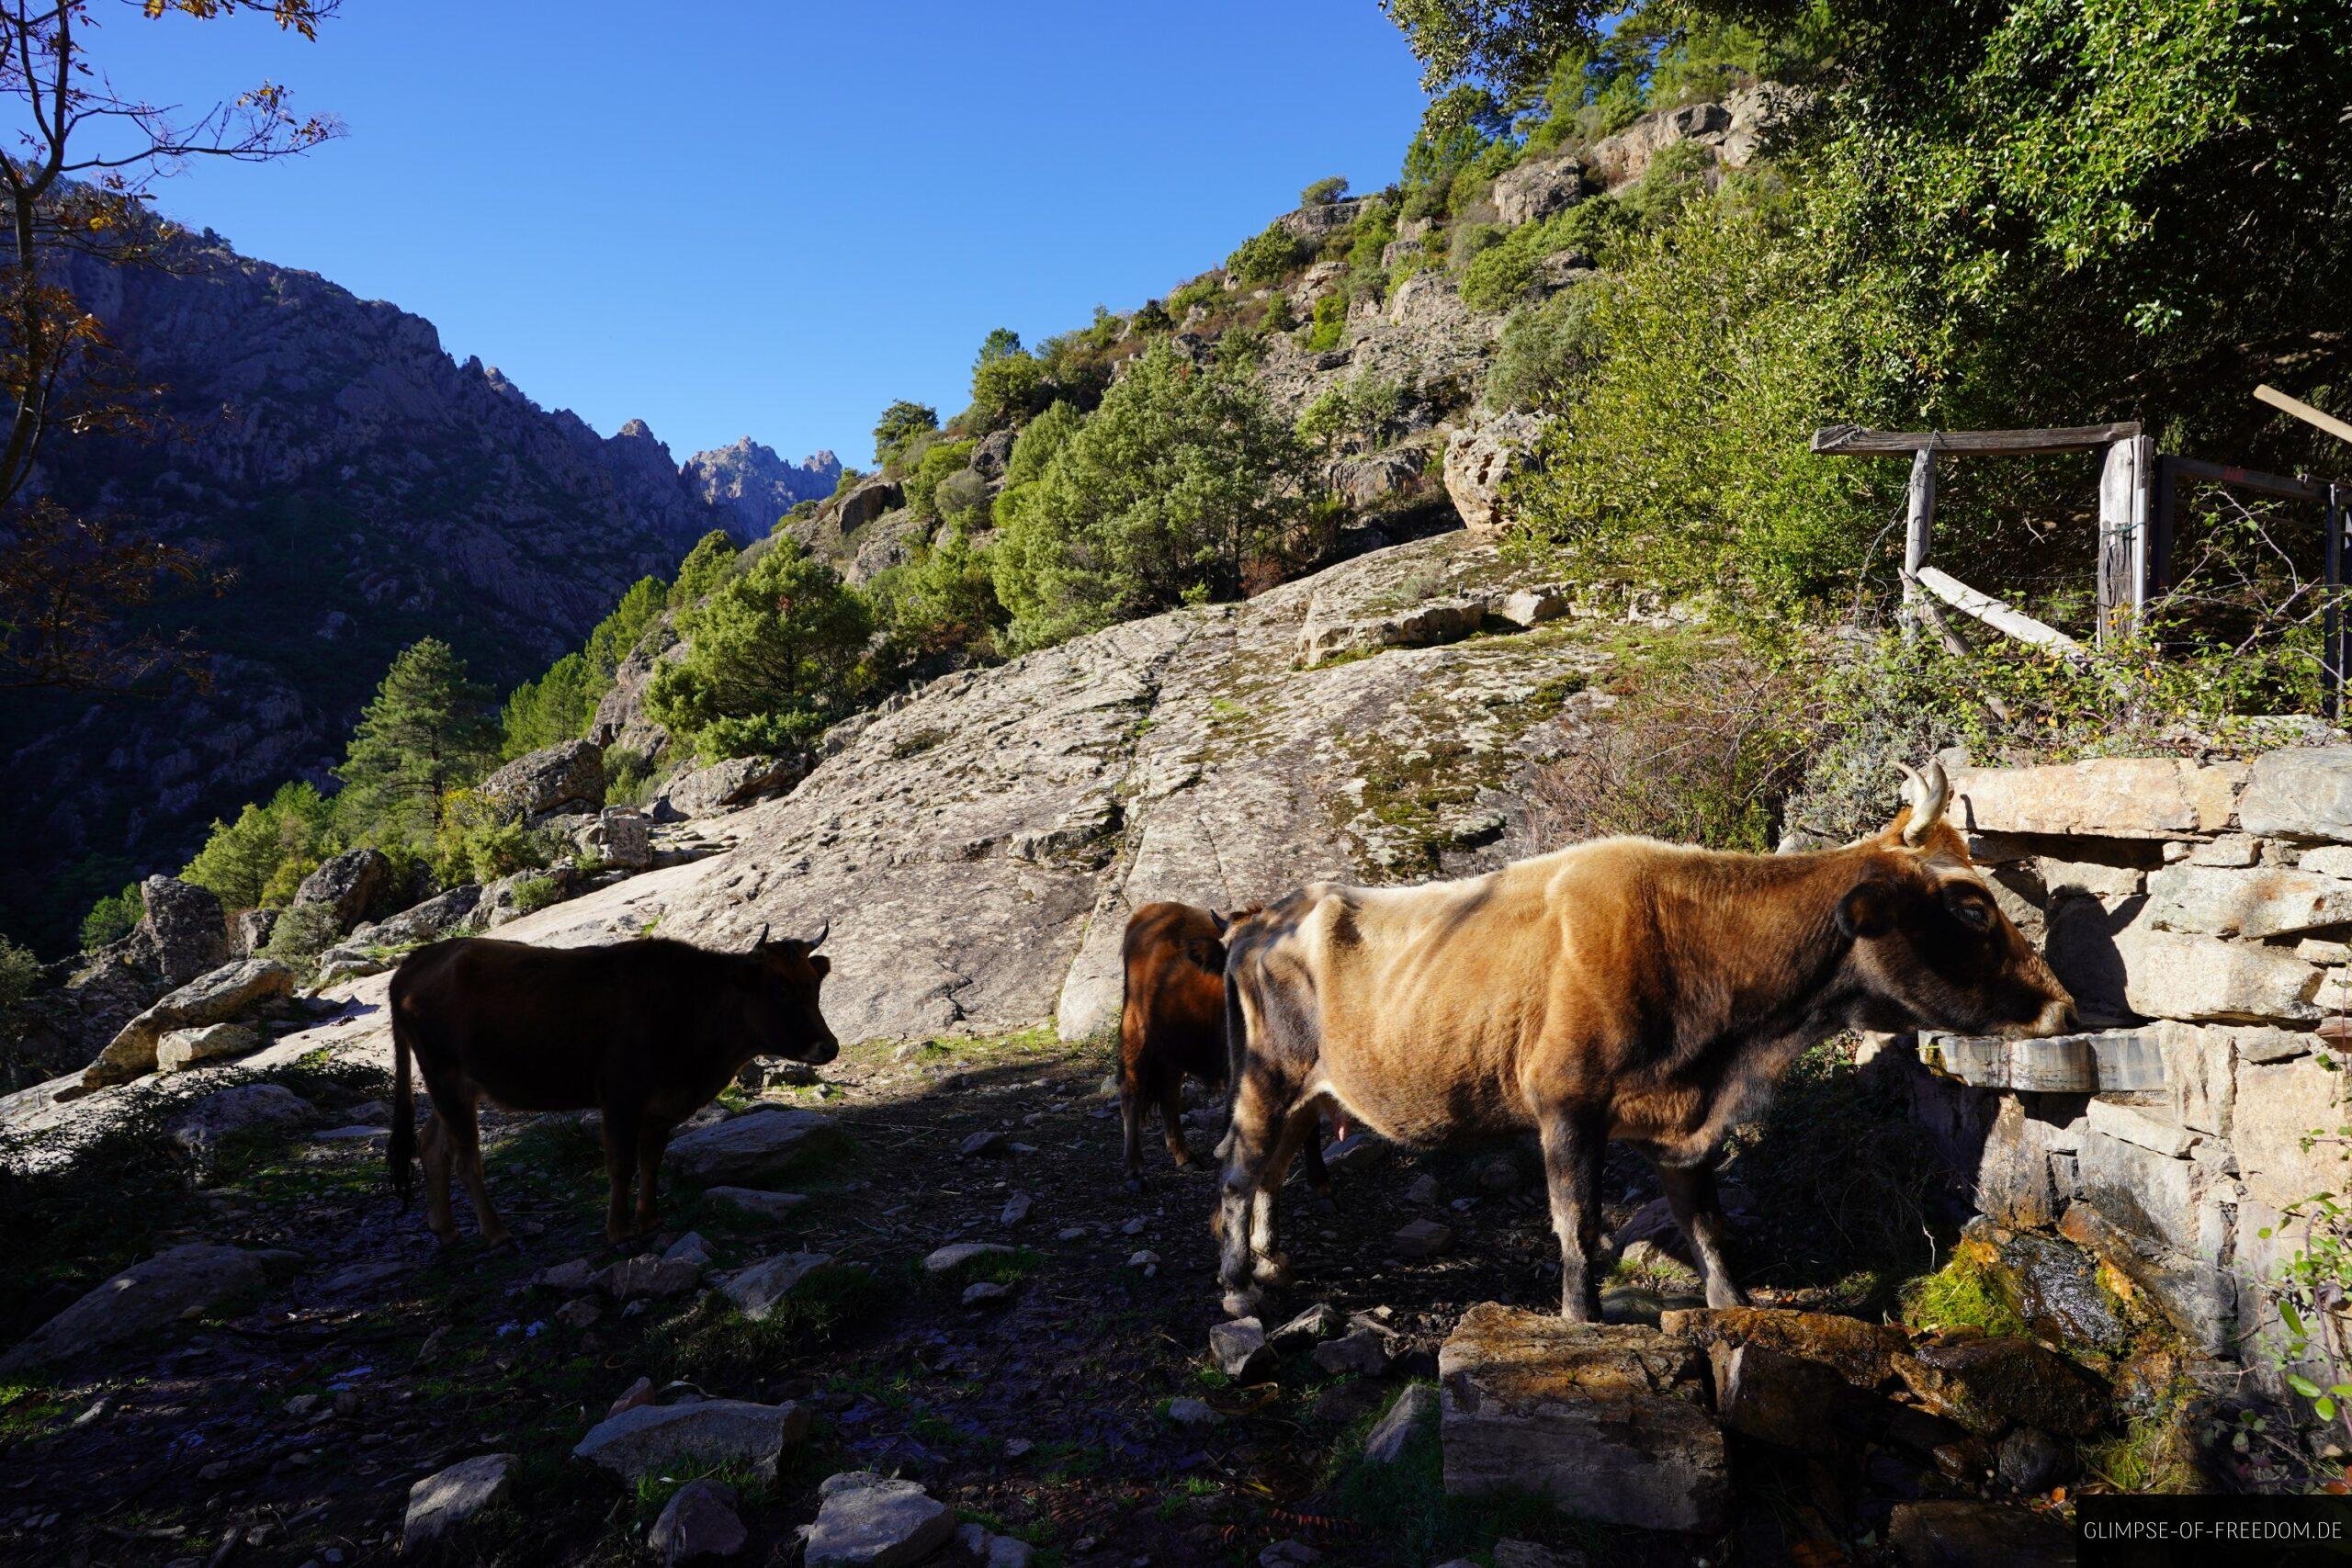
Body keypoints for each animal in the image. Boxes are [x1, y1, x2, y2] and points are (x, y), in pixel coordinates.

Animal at [388, 924, 838, 1247]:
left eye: (814, 987)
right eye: (780, 990)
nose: (829, 1046)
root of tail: (417, 960)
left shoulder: (661, 1105)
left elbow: (651, 1160)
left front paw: (650, 1219)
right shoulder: (621, 1096)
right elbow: (621, 1163)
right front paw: (619, 1232)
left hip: (460, 1087)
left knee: (431, 1143)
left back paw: (445, 1229)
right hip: (445, 1077)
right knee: (466, 1159)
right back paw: (496, 1233)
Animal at [1119, 901, 1333, 1193]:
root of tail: (1151, 910)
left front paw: (1320, 1179)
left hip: (1172, 1045)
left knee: (1169, 1094)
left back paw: (1185, 1157)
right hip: (1136, 1028)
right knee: (1132, 1092)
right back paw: (1135, 1170)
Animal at [1212, 762, 2075, 1320]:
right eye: (1970, 906)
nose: (2062, 1003)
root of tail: (1261, 915)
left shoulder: (1683, 1118)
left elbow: (1705, 1221)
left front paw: (1731, 1302)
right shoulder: (1566, 1104)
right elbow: (1577, 1223)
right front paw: (1580, 1315)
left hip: (1307, 1093)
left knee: (1273, 1169)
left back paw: (1271, 1260)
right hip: (1266, 1076)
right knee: (1240, 1168)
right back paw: (1237, 1281)